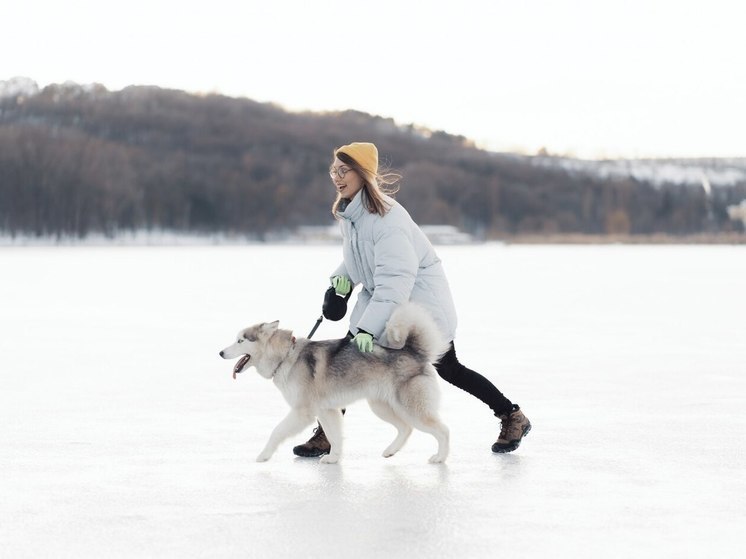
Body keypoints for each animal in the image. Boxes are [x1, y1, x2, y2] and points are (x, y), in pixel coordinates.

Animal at [218, 304, 450, 466]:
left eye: (240, 341)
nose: (220, 352)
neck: (286, 356)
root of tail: (414, 352)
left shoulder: (303, 412)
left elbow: (277, 431)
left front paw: (263, 455)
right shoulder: (327, 411)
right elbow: (334, 436)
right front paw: (333, 459)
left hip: (411, 408)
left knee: (443, 430)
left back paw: (440, 457)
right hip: (381, 406)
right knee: (406, 428)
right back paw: (390, 450)